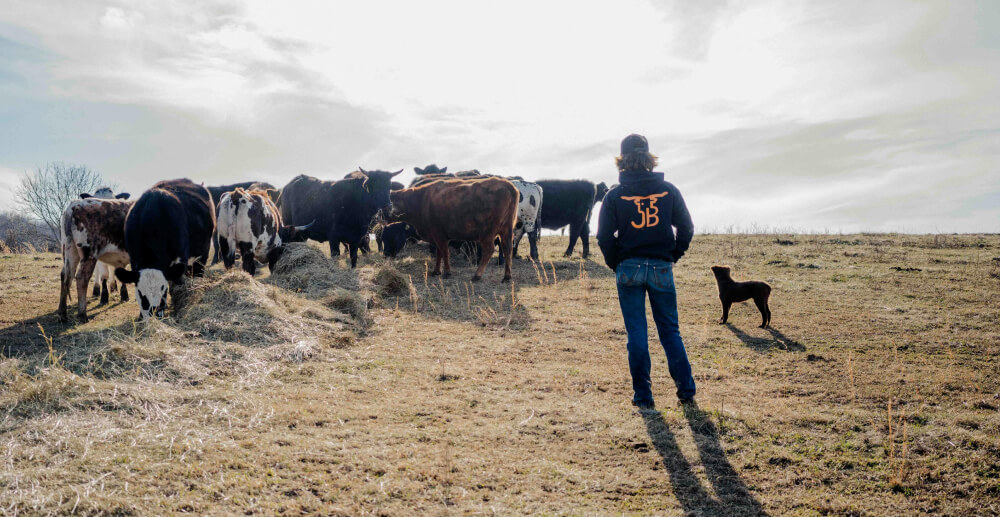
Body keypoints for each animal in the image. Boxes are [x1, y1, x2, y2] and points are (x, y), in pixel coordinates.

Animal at [113, 178, 215, 318]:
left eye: (162, 288)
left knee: (197, 272)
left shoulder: (180, 257)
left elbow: (176, 284)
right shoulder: (134, 260)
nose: (152, 310)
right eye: (140, 291)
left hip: (202, 253)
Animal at [388, 177, 520, 282]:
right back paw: (507, 276)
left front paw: (447, 272)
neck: (421, 200)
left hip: (487, 234)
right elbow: (439, 254)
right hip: (506, 231)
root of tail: (506, 184)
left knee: (489, 250)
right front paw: (436, 271)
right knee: (507, 248)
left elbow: (445, 253)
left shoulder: (439, 235)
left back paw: (477, 275)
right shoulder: (438, 238)